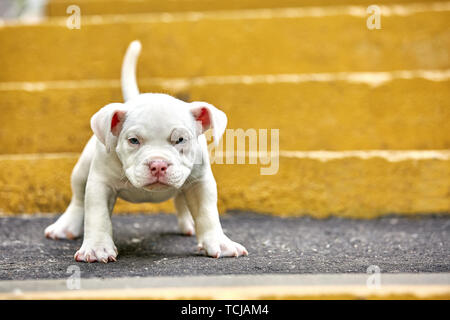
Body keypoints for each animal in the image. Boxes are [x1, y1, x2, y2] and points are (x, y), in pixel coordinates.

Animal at [45, 40, 248, 262]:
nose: (158, 165)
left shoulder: (200, 183)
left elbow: (207, 214)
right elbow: (97, 216)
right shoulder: (100, 183)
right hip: (82, 170)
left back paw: (189, 224)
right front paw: (97, 248)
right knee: (78, 198)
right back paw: (65, 226)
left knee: (181, 198)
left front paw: (219, 242)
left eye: (180, 139)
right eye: (133, 140)